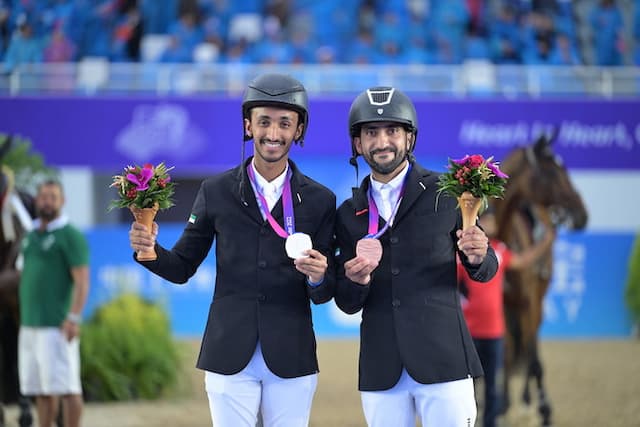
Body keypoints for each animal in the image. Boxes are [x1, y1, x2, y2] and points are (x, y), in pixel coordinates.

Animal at [492, 132, 588, 426]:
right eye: (552, 172)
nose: (582, 214)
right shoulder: (502, 305)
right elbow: (506, 355)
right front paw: (502, 406)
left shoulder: (529, 302)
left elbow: (533, 356)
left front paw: (540, 408)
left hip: (537, 303)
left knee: (532, 350)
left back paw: (532, 401)